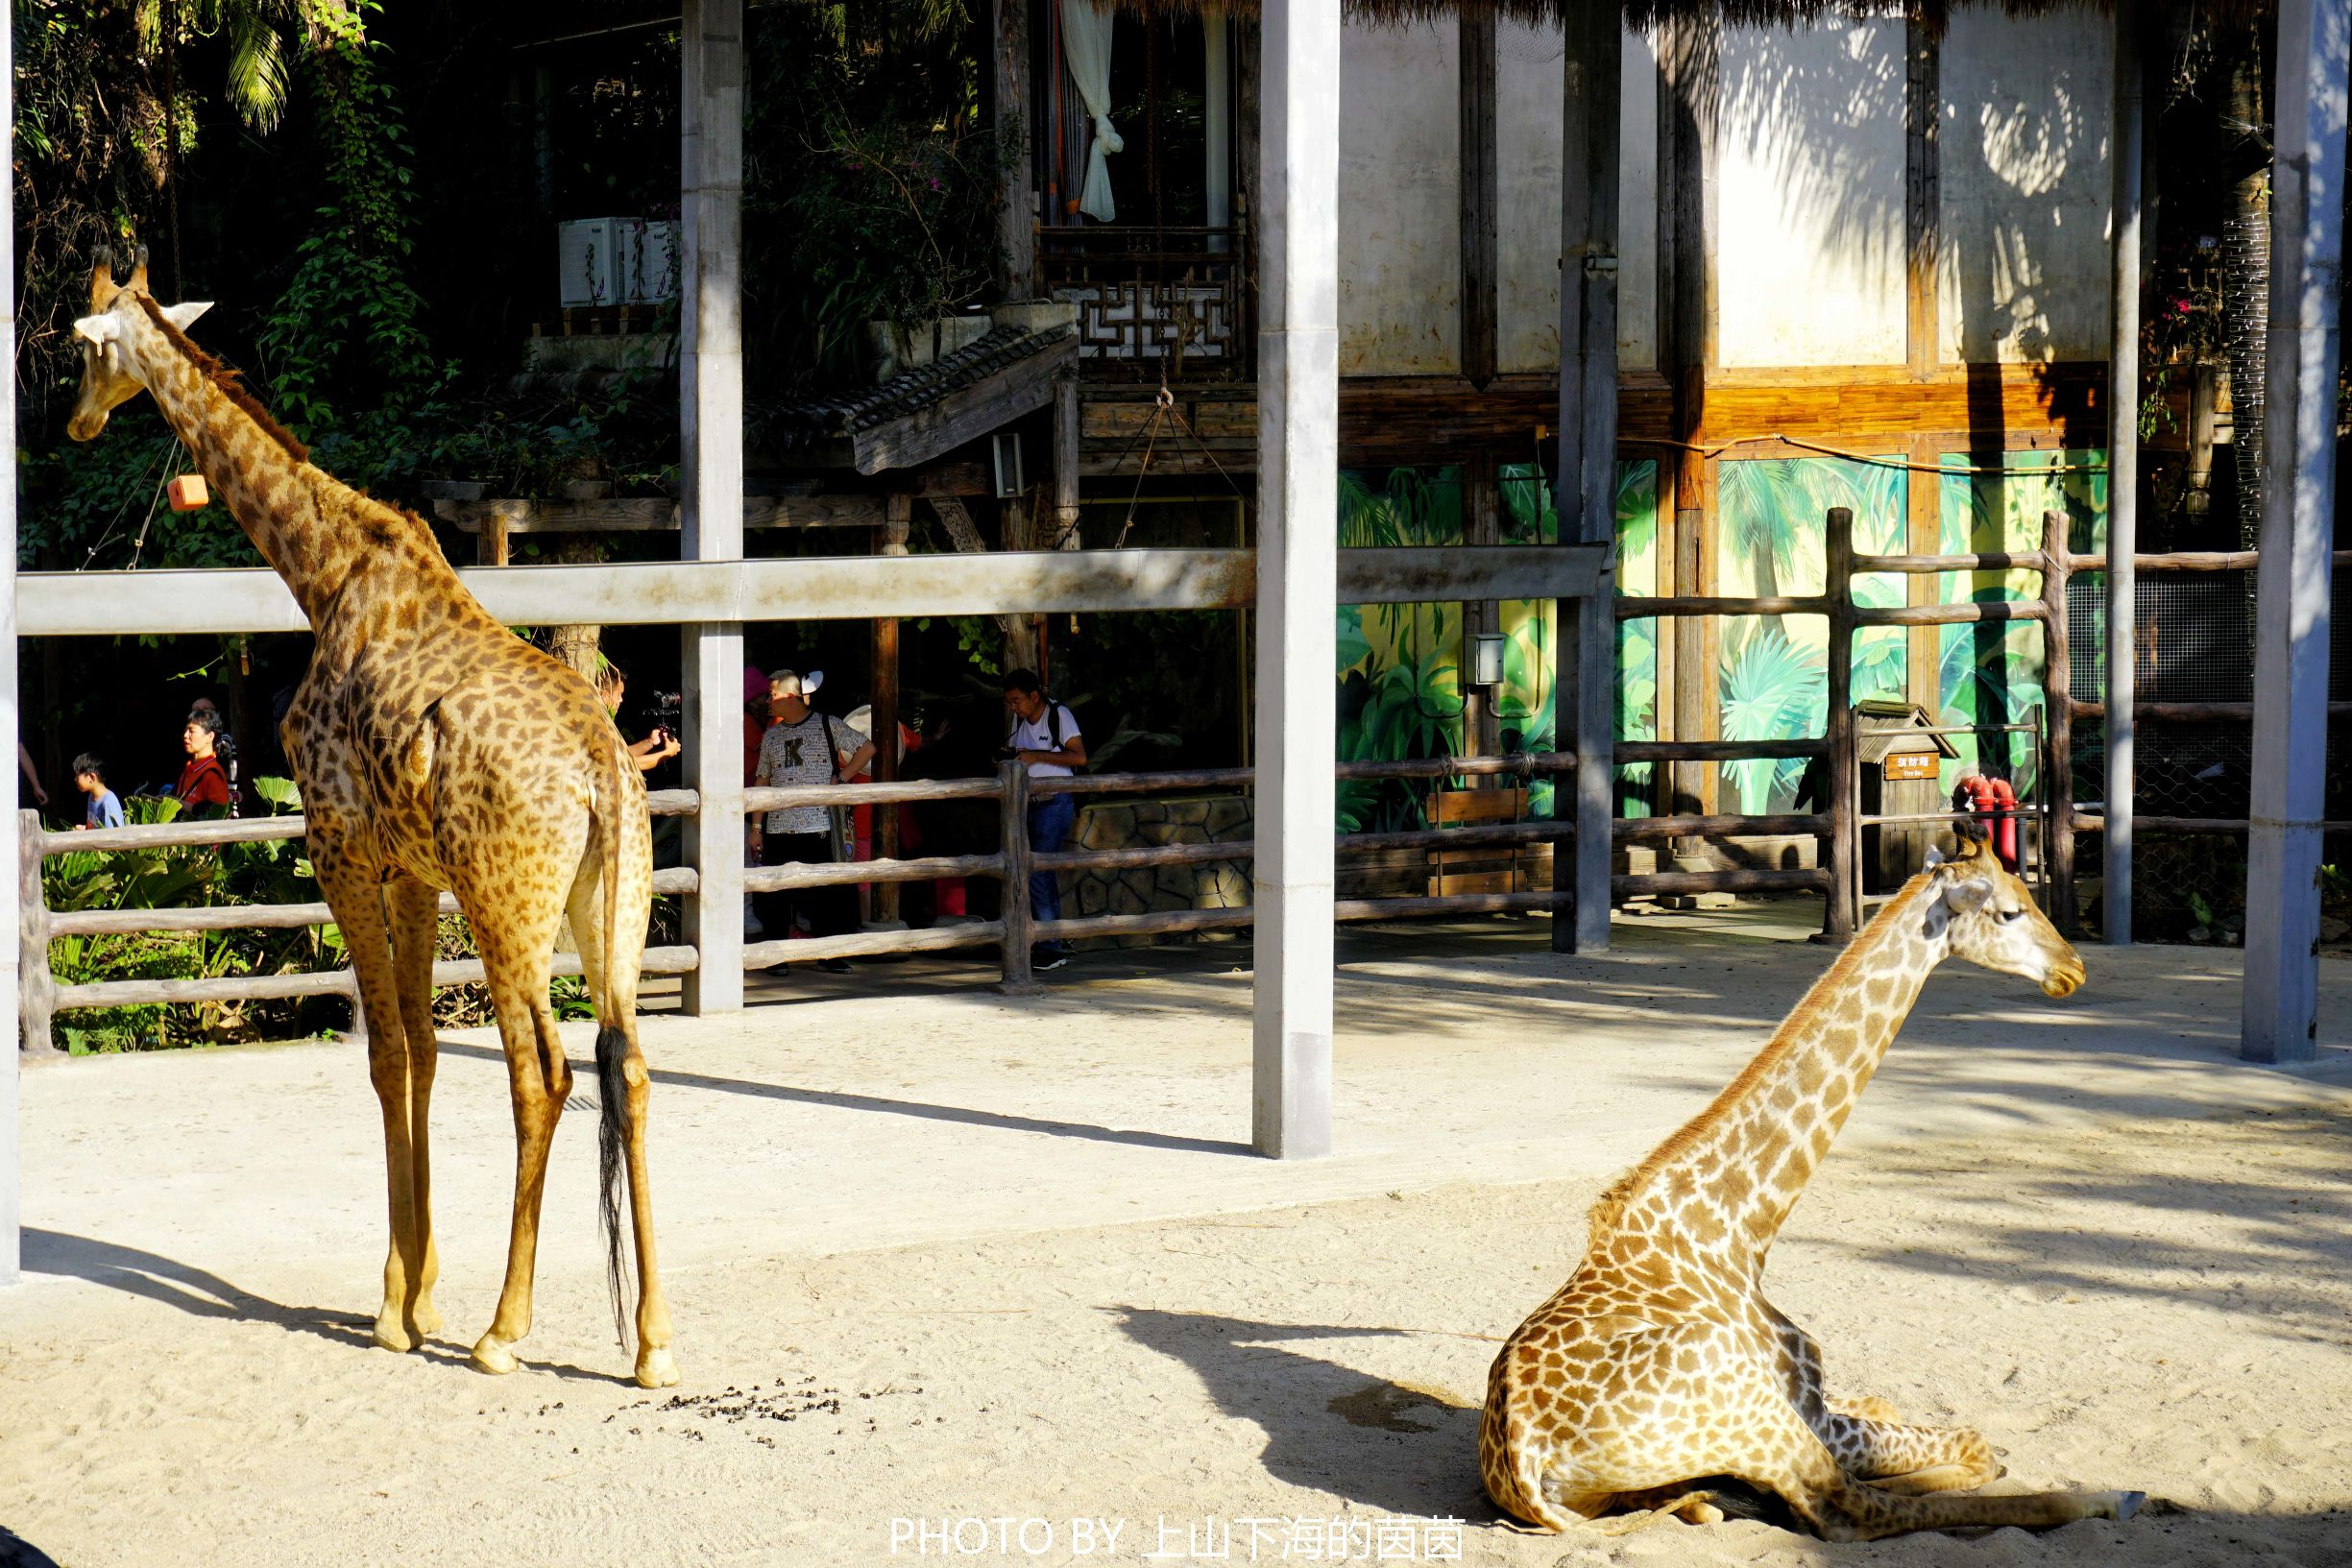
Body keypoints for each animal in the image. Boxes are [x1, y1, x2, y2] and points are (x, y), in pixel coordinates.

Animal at [68, 251, 677, 1391]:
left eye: (82, 349)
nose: (77, 422)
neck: (321, 575)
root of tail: (599, 771)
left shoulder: (338, 849)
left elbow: (387, 1052)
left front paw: (397, 1310)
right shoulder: (412, 872)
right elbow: (427, 1052)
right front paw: (417, 1286)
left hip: (507, 904)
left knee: (544, 1073)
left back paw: (503, 1331)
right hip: (609, 904)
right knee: (629, 1065)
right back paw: (654, 1340)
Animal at [1486, 827, 2154, 1542]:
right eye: (2008, 911)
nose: (2073, 968)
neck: (1739, 1231)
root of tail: (1527, 1465)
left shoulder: (1820, 1402)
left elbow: (1893, 1406)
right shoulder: (1807, 1409)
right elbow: (1970, 1447)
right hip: (1752, 1413)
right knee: (1849, 1507)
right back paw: (2106, 1497)